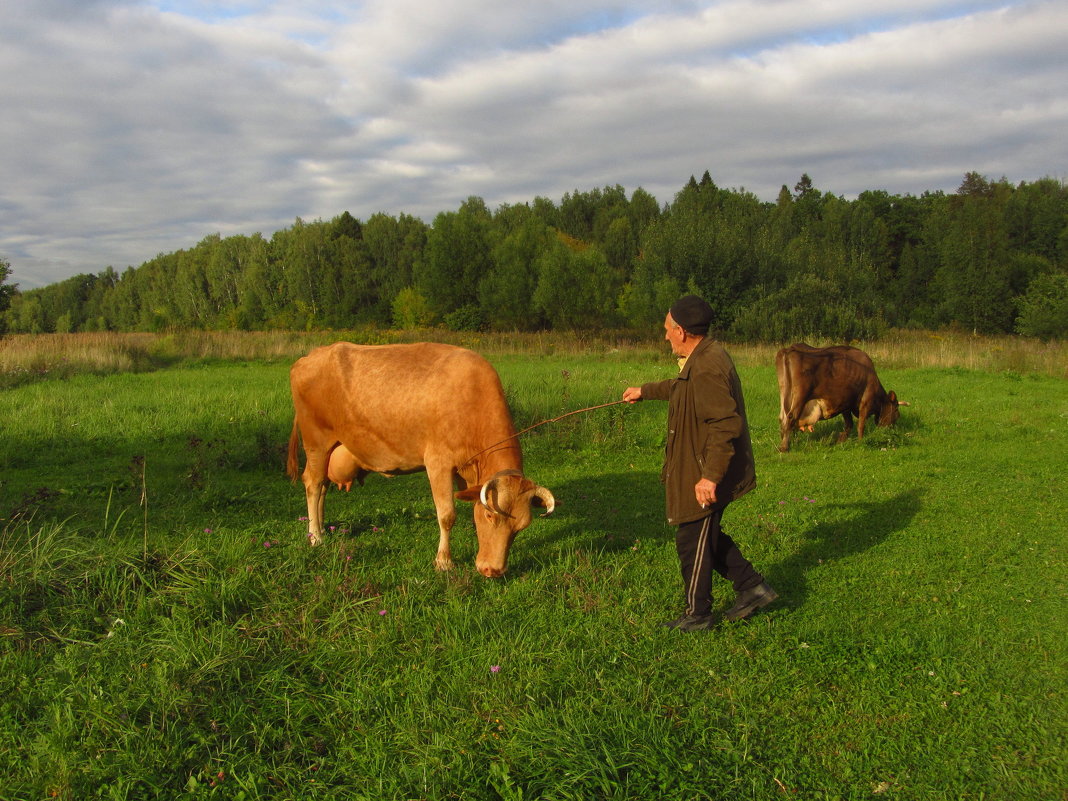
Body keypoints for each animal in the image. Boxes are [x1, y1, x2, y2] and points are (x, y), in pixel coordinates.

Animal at [290, 341, 559, 580]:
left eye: (521, 527)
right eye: (490, 516)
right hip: (316, 443)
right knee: (313, 483)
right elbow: (447, 515)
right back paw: (315, 536)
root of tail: (309, 357)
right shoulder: (438, 463)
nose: (493, 570)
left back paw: (322, 528)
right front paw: (444, 561)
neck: (470, 397)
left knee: (323, 486)